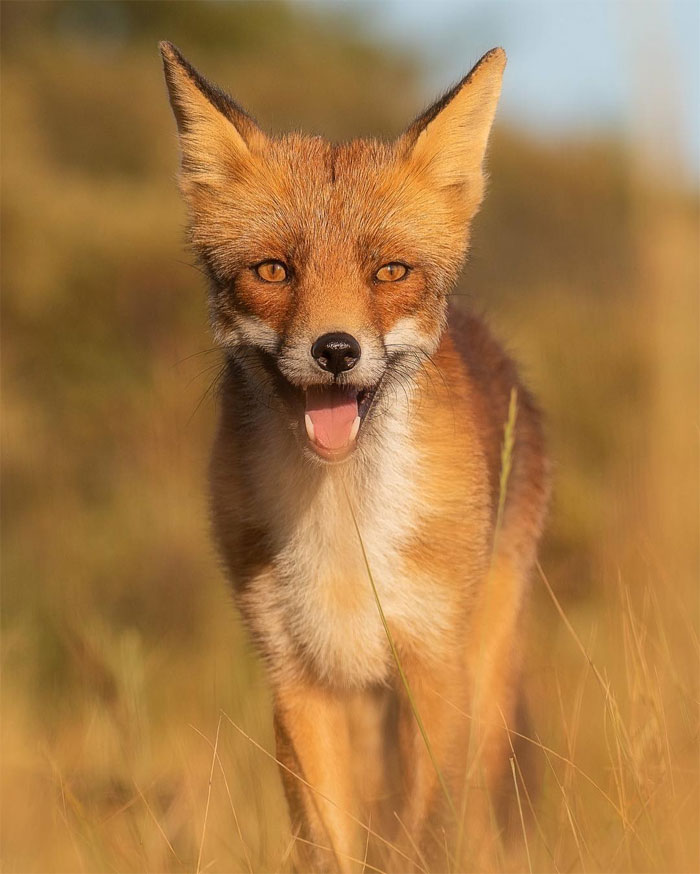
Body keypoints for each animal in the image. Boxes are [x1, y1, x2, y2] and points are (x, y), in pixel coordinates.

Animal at [161, 42, 548, 872]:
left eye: (389, 271)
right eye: (273, 270)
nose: (336, 350)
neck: (343, 526)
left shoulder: (433, 667)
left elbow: (421, 838)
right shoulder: (297, 677)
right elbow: (330, 846)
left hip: (485, 678)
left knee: (474, 820)